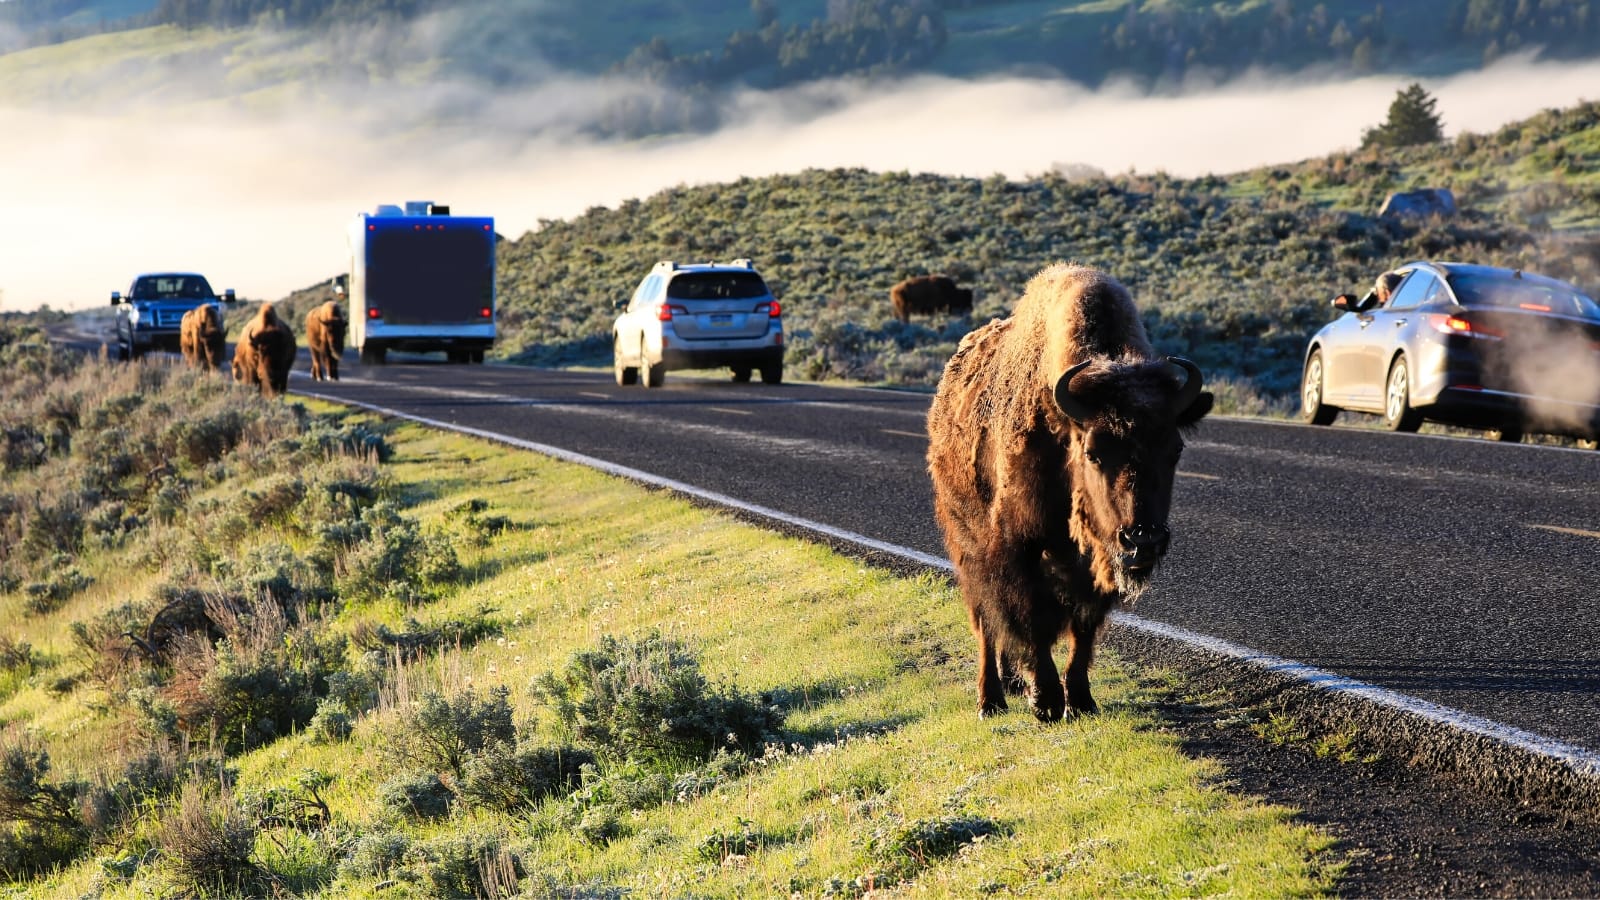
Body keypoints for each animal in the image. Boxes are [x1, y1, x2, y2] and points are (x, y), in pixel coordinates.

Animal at [928, 262, 1209, 717]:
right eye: (1093, 453)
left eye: (1175, 450)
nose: (1143, 541)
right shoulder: (1021, 549)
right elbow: (1033, 622)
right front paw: (1045, 700)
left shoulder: (1095, 563)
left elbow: (1083, 629)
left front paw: (1080, 701)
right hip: (967, 545)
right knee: (985, 620)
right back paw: (991, 699)